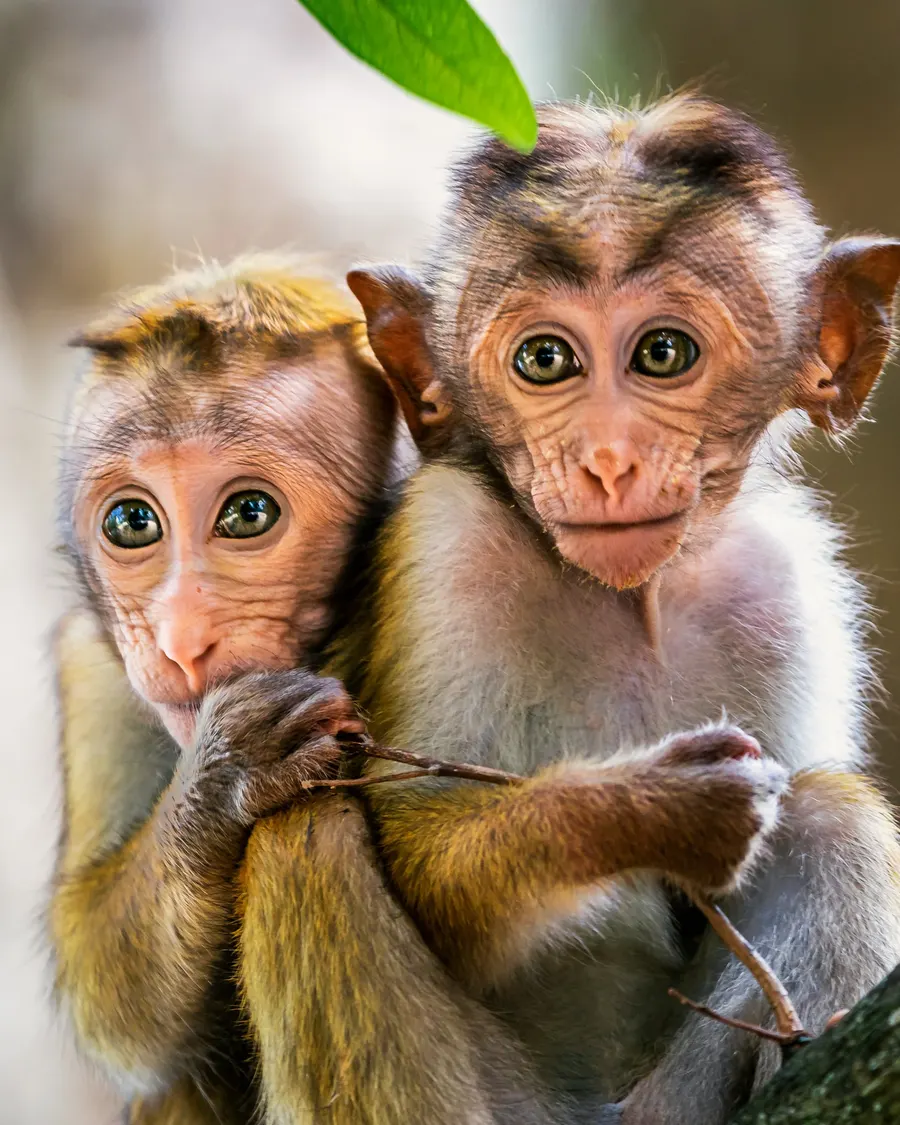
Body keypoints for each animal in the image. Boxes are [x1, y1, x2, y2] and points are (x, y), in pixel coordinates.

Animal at [284, 93, 900, 1123]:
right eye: (545, 359)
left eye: (663, 353)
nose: (608, 460)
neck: (625, 601)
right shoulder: (446, 546)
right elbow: (422, 858)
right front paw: (647, 808)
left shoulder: (785, 585)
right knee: (307, 833)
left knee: (834, 818)